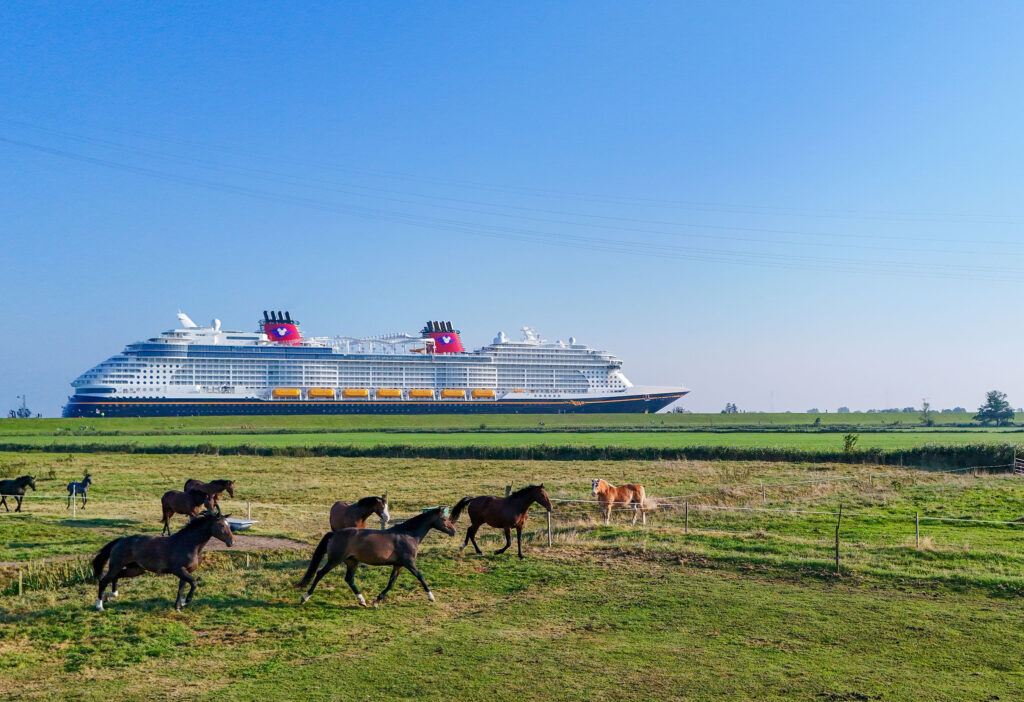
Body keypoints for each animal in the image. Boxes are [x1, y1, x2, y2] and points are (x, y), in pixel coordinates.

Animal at [92, 509, 234, 613]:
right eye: (221, 525)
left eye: (229, 525)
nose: (231, 542)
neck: (189, 544)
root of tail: (120, 540)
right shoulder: (178, 570)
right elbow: (193, 583)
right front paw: (184, 602)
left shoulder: (185, 572)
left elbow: (181, 588)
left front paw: (178, 606)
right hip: (117, 566)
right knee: (103, 581)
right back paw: (100, 606)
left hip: (136, 569)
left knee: (116, 577)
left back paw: (111, 596)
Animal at [296, 509, 456, 605]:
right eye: (444, 519)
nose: (453, 531)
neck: (408, 535)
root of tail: (334, 533)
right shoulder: (409, 563)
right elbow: (420, 577)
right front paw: (431, 596)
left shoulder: (398, 565)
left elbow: (391, 583)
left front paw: (377, 601)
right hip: (335, 560)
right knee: (320, 573)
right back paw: (305, 597)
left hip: (352, 562)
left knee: (349, 579)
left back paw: (362, 600)